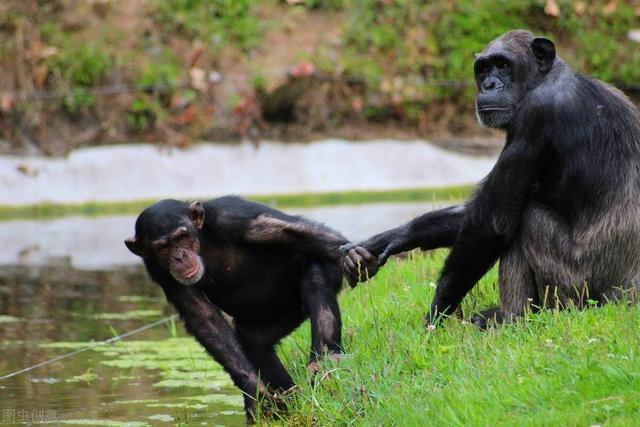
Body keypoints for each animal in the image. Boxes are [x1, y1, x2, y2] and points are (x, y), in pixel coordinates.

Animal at [124, 198, 350, 422]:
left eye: (181, 237)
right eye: (162, 247)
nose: (179, 257)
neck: (202, 244)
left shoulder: (231, 217)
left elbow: (296, 232)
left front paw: (355, 254)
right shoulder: (157, 269)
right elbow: (203, 317)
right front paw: (255, 391)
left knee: (315, 270)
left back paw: (325, 359)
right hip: (281, 315)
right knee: (255, 343)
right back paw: (288, 403)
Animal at [342, 29, 640, 332]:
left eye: (503, 65)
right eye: (483, 68)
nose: (488, 85)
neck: (547, 78)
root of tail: (625, 296)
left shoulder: (533, 118)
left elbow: (491, 223)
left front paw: (436, 315)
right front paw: (389, 239)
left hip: (580, 289)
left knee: (529, 219)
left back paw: (511, 316)